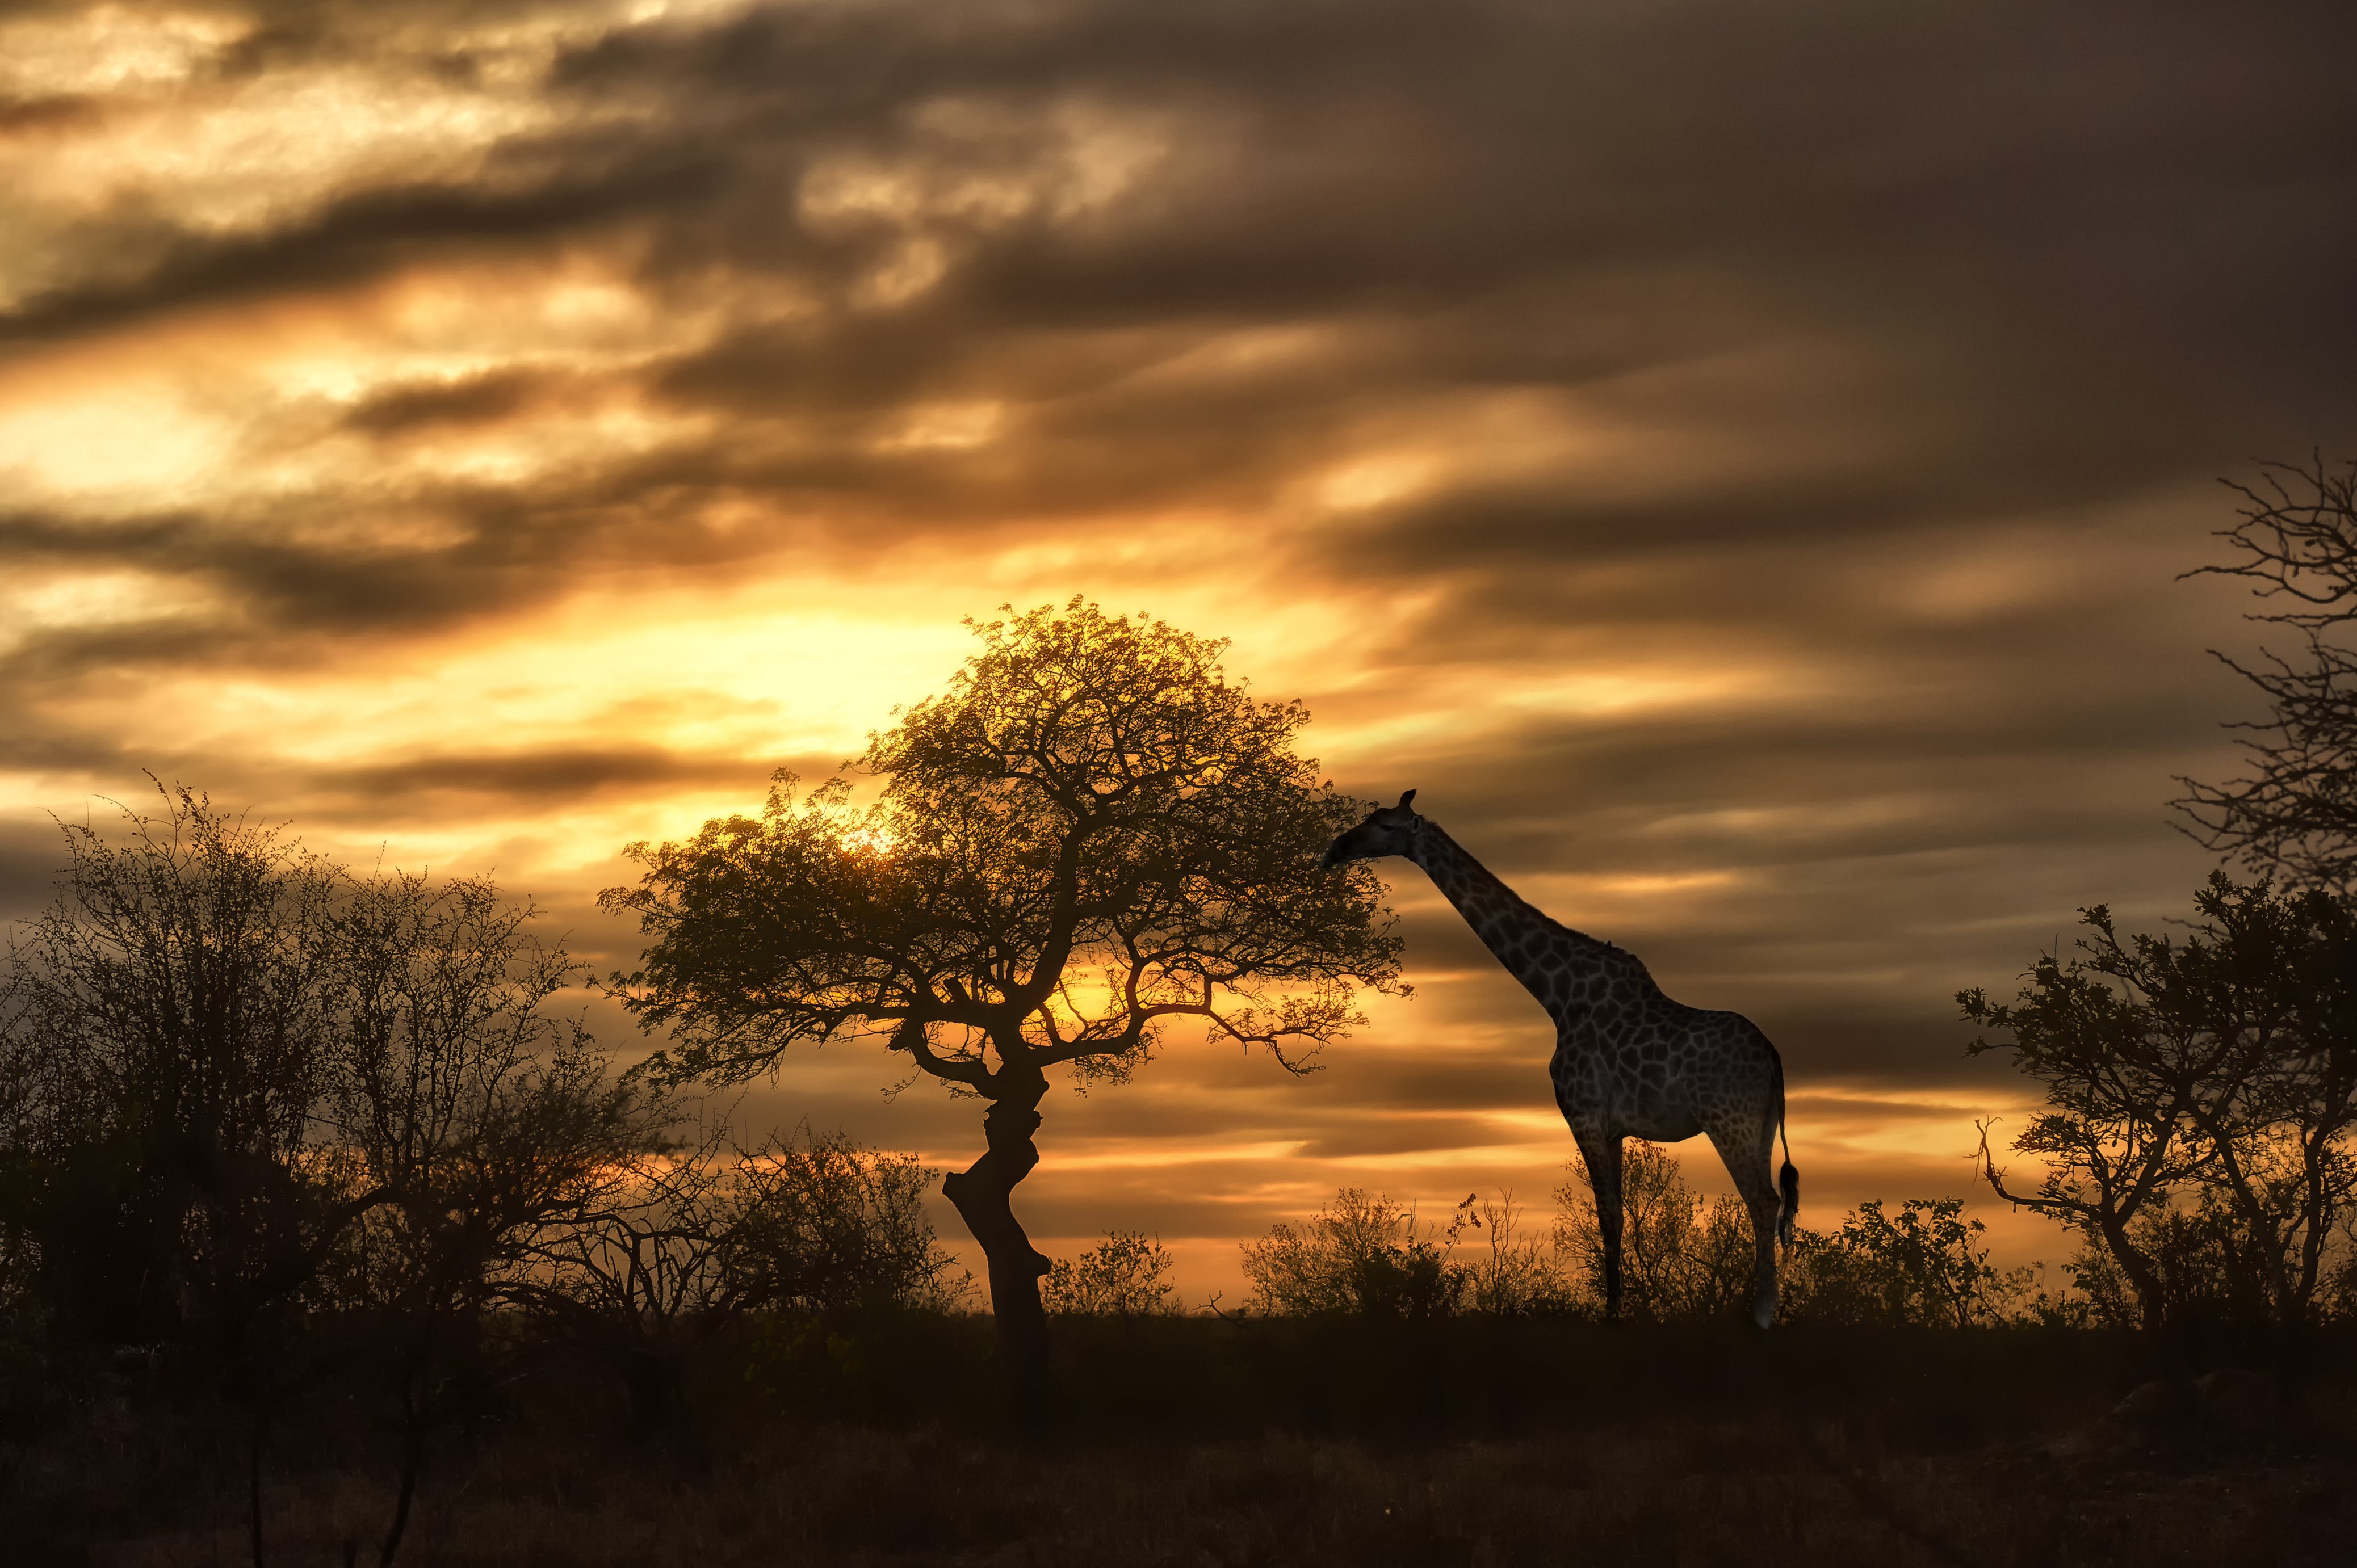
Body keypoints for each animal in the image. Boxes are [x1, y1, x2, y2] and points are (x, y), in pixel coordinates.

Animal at [1320, 797, 1791, 1320]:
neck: (1557, 995)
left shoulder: (1582, 1113)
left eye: (1385, 826)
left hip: (1729, 1120)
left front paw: (1613, 1316)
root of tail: (1774, 1059)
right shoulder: (1613, 1127)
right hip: (1761, 1126)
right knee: (1775, 1204)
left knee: (1763, 1202)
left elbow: (1608, 1216)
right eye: (1367, 817)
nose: (1336, 848)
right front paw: (1619, 1309)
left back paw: (1762, 1315)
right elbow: (1617, 1214)